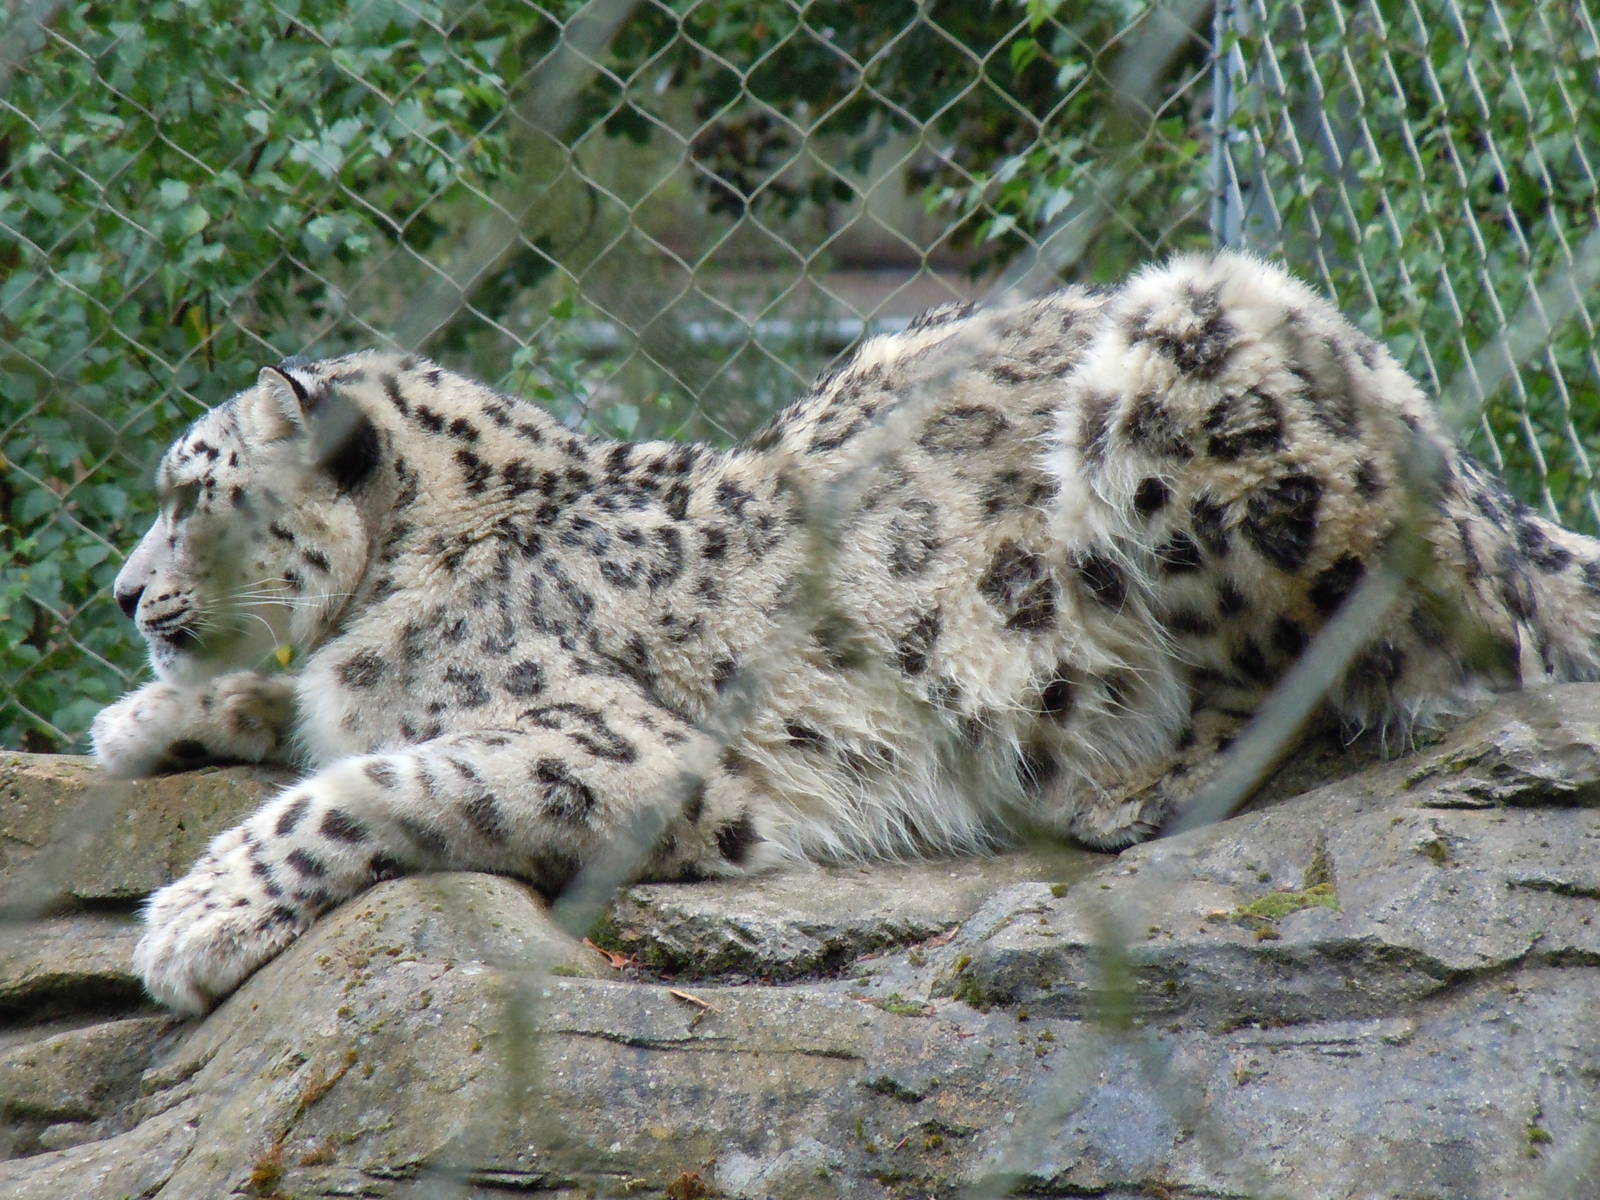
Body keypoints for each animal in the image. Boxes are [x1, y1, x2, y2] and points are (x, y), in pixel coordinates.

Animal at [91, 252, 1600, 1016]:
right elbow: (305, 717)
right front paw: (143, 721)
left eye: (188, 491)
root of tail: (1486, 486)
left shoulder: (617, 748)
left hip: (1195, 348)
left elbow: (370, 782)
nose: (118, 592)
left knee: (1349, 655)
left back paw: (1131, 782)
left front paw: (194, 919)